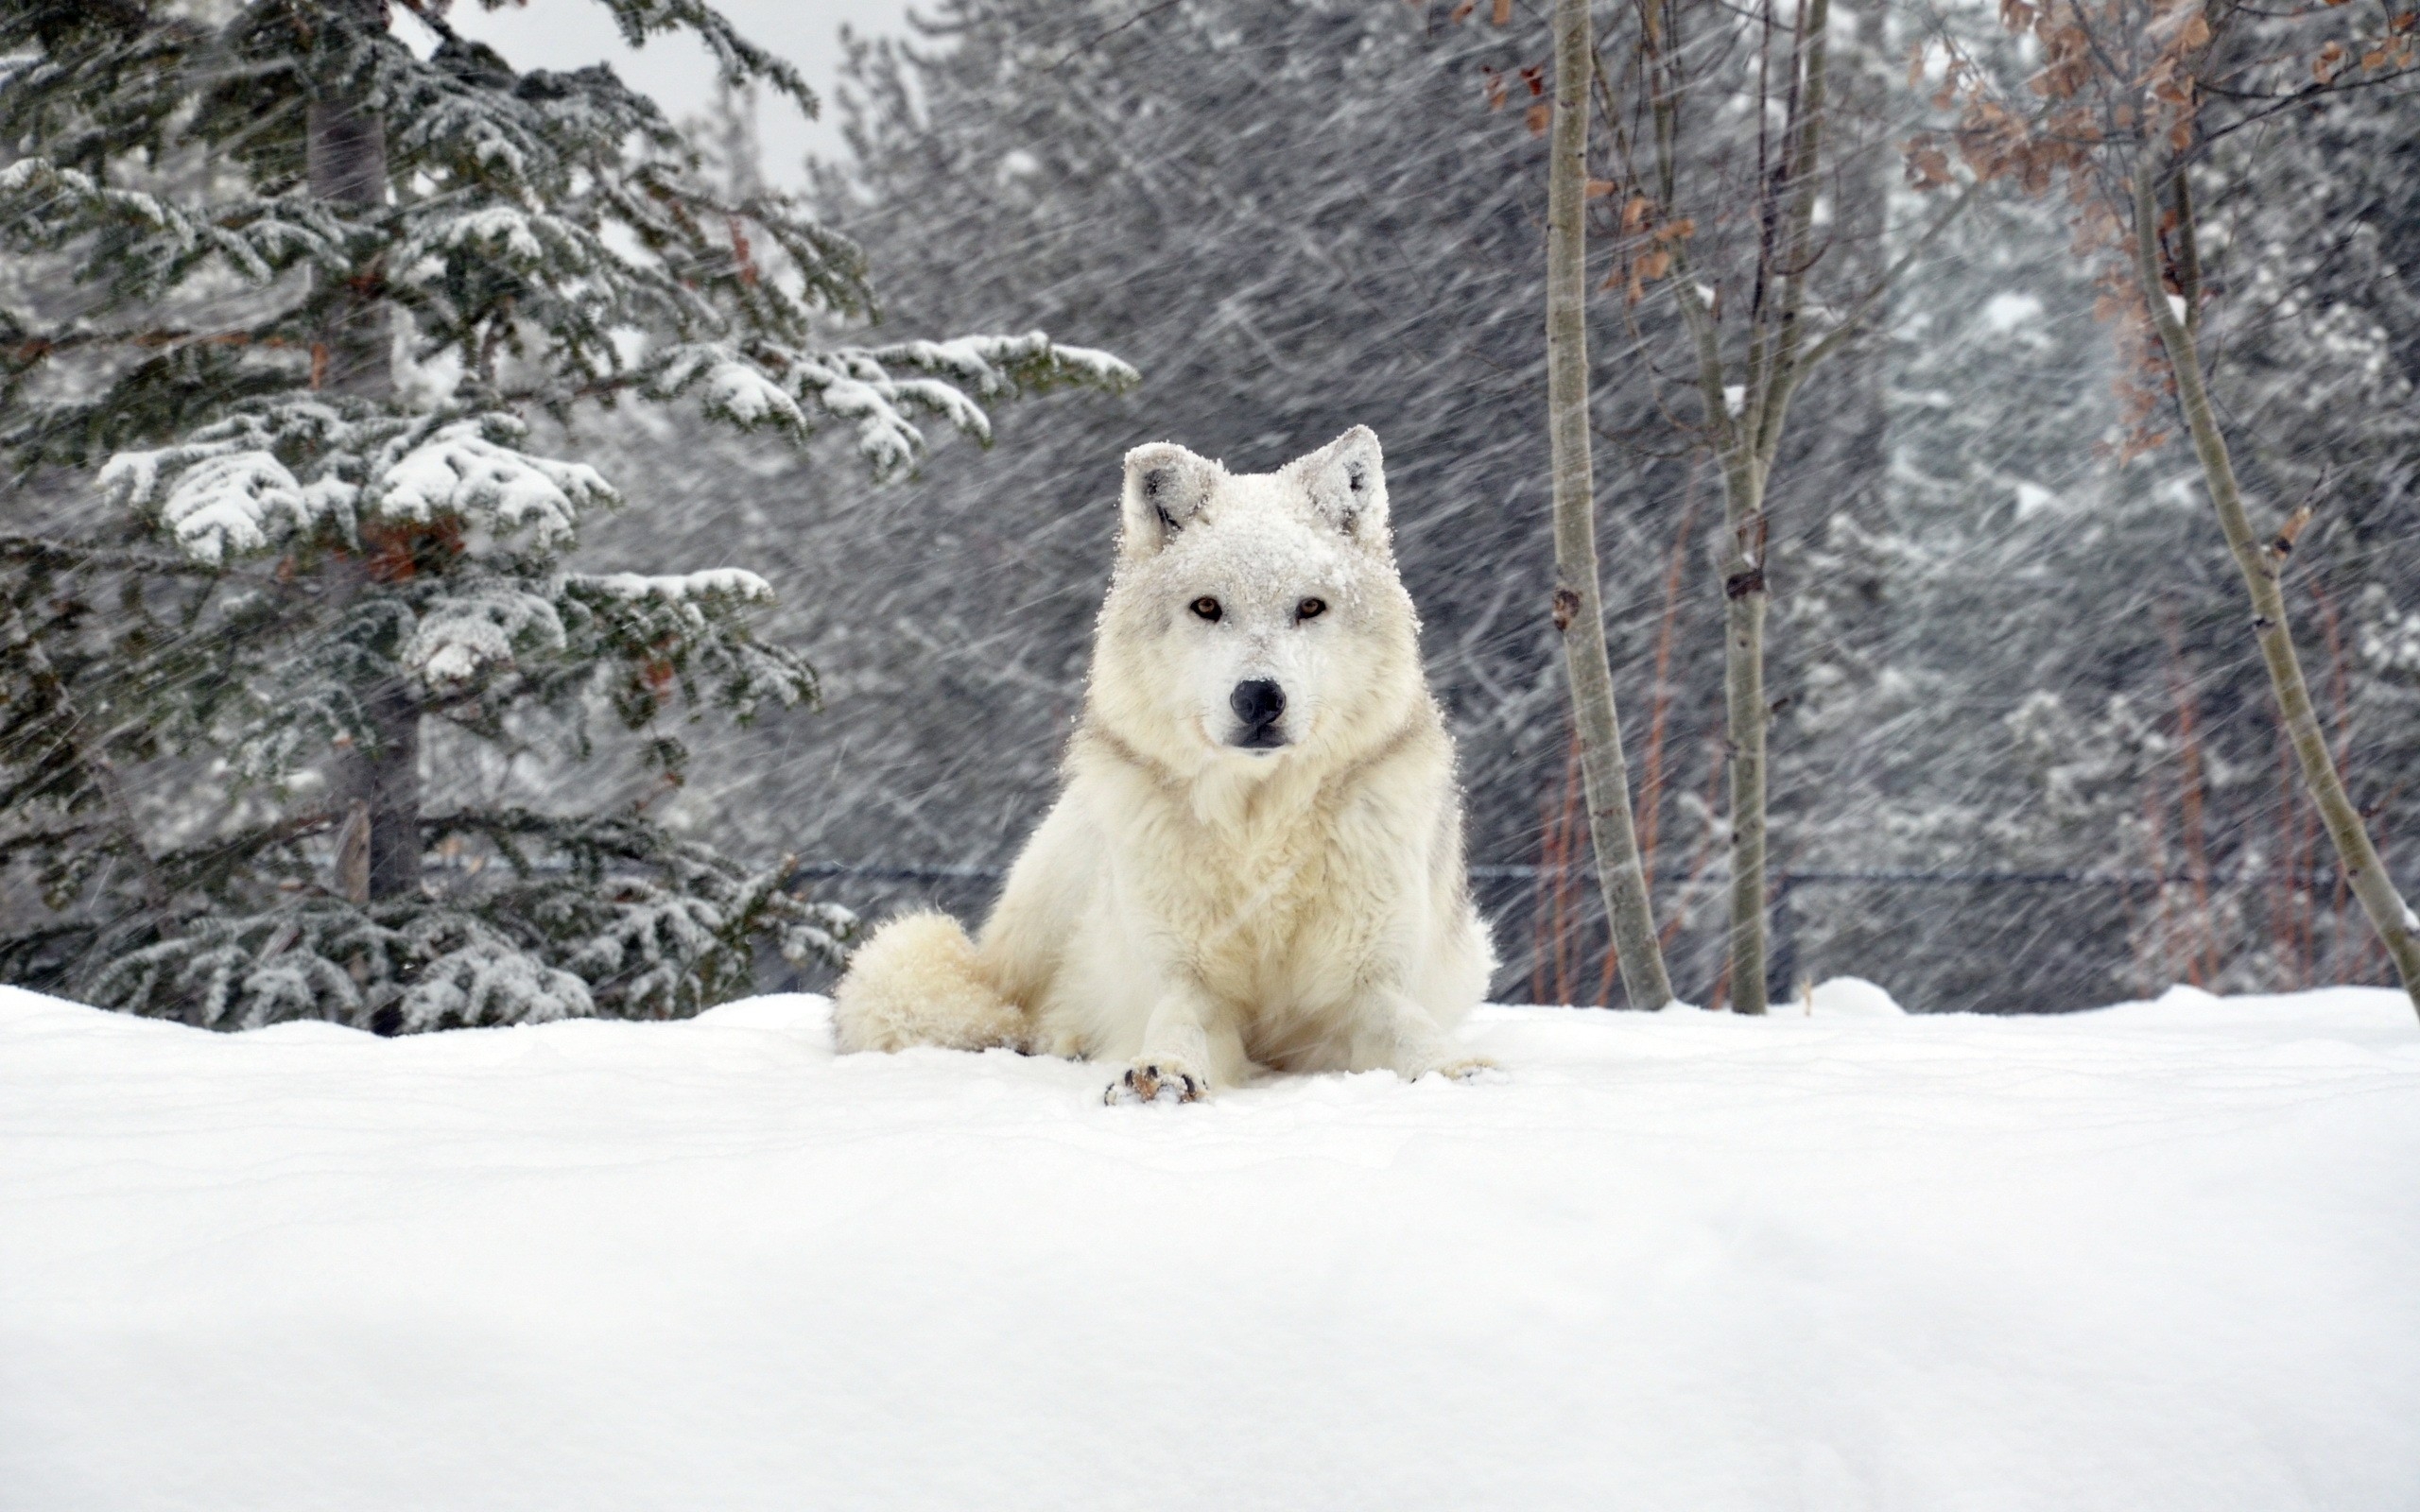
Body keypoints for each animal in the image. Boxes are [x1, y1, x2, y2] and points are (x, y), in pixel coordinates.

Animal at [841, 425, 1500, 1098]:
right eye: (1207, 608)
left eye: (1310, 607)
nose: (1259, 696)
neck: (1259, 829)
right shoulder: (1187, 979)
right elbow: (1177, 1023)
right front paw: (1161, 1073)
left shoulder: (1366, 984)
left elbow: (1412, 1028)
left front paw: (1456, 1070)